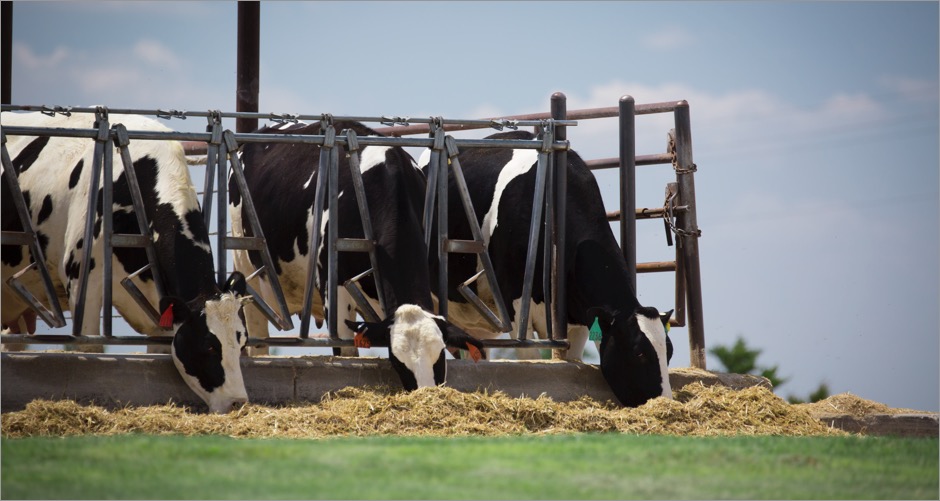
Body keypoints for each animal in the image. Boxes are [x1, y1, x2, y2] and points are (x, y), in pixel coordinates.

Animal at [229, 119, 484, 388]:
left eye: (439, 357)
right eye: (399, 363)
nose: (426, 392)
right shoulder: (333, 283)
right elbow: (347, 351)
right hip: (246, 264)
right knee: (257, 335)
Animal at [422, 130, 672, 406]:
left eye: (669, 352)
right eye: (639, 353)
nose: (667, 401)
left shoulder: (578, 317)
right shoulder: (514, 304)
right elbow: (528, 358)